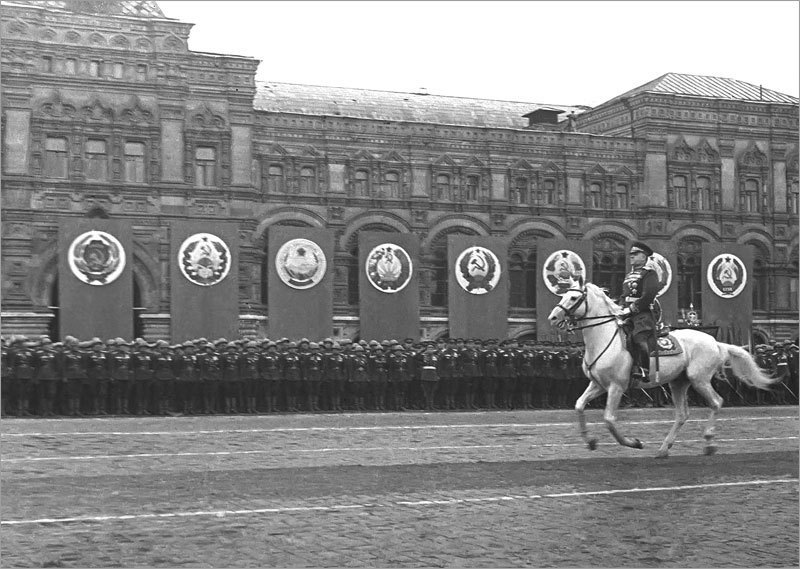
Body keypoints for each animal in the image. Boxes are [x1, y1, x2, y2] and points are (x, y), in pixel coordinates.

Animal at [548, 282, 780, 458]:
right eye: (564, 294)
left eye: (573, 298)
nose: (553, 317)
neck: (604, 338)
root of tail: (715, 342)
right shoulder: (597, 384)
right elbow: (579, 405)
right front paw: (591, 441)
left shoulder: (616, 387)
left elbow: (609, 420)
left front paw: (634, 442)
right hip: (678, 383)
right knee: (682, 414)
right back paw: (664, 449)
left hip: (699, 379)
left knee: (716, 402)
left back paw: (708, 443)